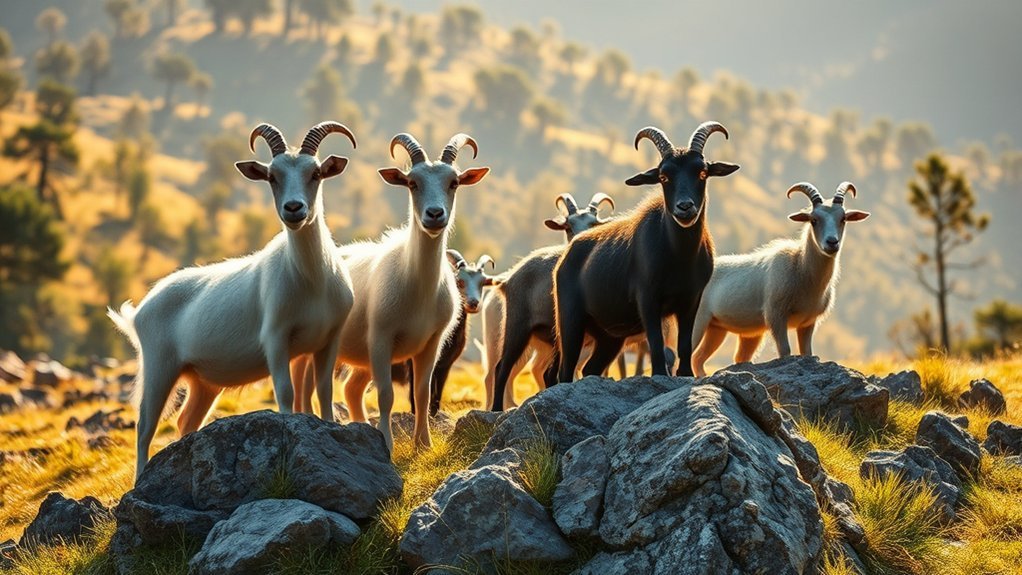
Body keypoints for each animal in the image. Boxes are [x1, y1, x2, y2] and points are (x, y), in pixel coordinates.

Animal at [108, 122, 357, 480]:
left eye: (316, 173)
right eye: (272, 176)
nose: (294, 209)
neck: (312, 281)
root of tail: (140, 311)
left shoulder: (328, 339)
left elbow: (323, 392)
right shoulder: (276, 338)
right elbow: (286, 392)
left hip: (202, 382)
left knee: (186, 420)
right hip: (159, 365)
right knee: (144, 426)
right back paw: (140, 478)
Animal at [294, 132, 488, 452]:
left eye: (454, 182)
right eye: (412, 183)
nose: (435, 215)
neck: (417, 287)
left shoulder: (431, 344)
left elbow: (422, 394)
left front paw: (424, 444)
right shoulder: (380, 337)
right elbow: (386, 394)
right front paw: (386, 441)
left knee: (351, 389)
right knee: (304, 385)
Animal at [486, 193, 614, 411]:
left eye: (593, 224)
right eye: (568, 226)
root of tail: (508, 279)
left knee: (547, 373)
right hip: (517, 327)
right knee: (502, 368)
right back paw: (496, 409)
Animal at [554, 122, 739, 382]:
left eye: (702, 173)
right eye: (663, 176)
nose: (685, 208)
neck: (679, 256)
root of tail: (566, 257)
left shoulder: (691, 299)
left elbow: (684, 343)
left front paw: (685, 374)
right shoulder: (648, 299)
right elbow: (656, 342)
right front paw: (661, 374)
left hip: (610, 336)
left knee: (591, 368)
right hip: (571, 321)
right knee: (565, 370)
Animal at [691, 181, 869, 376]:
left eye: (843, 219)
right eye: (813, 220)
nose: (832, 242)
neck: (801, 268)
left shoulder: (808, 322)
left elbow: (807, 352)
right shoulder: (776, 315)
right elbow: (785, 351)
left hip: (720, 329)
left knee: (702, 358)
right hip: (698, 320)